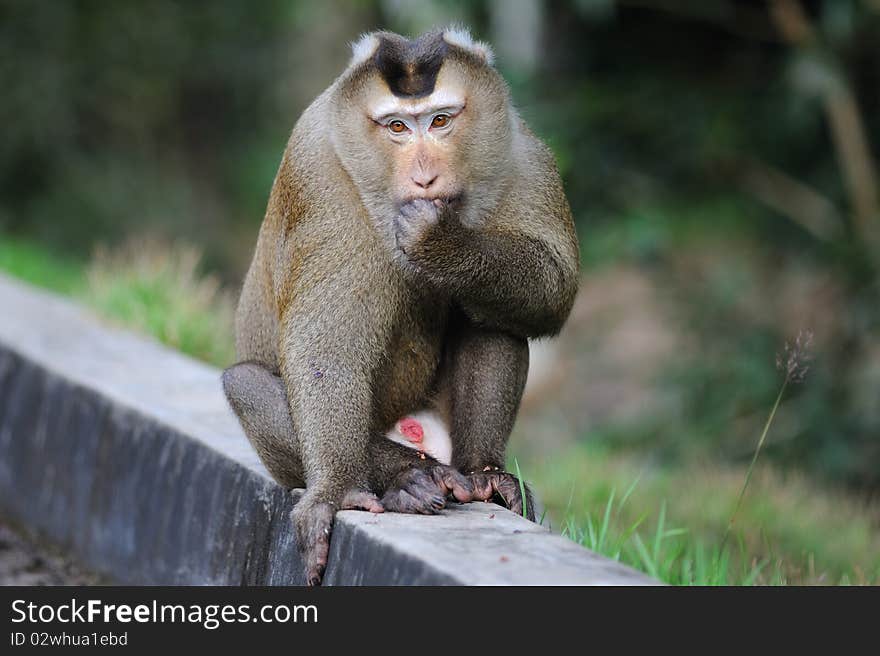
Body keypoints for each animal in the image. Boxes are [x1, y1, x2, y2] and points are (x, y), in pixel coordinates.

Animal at [222, 26, 576, 584]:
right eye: (396, 127)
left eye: (440, 120)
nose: (425, 178)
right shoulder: (320, 174)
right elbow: (328, 348)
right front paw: (338, 491)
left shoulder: (521, 154)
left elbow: (554, 284)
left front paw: (443, 244)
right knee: (245, 383)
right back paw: (412, 479)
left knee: (495, 315)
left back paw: (482, 474)